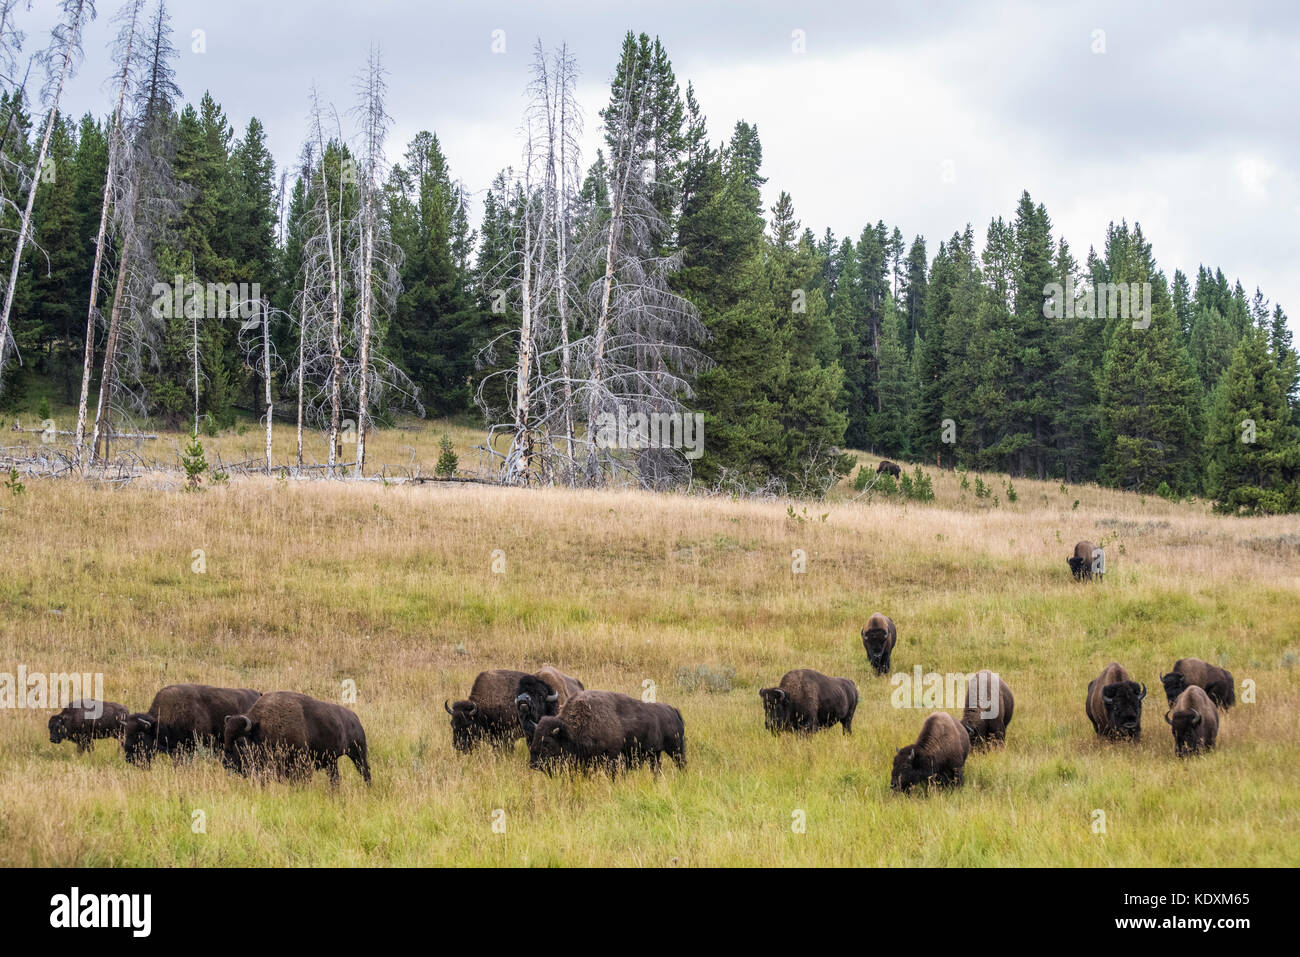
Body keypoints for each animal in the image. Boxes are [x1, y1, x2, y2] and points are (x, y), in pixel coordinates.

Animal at [223, 691, 371, 790]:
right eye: (226, 737)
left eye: (240, 740)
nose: (226, 761)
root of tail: (355, 718)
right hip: (332, 760)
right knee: (335, 778)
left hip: (358, 754)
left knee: (365, 771)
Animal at [527, 686, 691, 780]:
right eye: (534, 739)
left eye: (547, 743)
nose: (533, 764)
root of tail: (673, 710)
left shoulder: (612, 757)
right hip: (655, 754)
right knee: (656, 768)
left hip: (675, 749)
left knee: (681, 763)